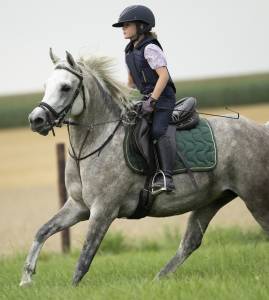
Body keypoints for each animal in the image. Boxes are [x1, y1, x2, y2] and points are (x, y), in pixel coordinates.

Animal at [19, 50, 268, 288]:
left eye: (65, 87)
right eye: (45, 86)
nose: (36, 120)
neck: (92, 145)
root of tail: (261, 130)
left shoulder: (103, 210)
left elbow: (85, 257)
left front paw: (71, 288)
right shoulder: (78, 207)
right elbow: (42, 231)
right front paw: (26, 279)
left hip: (255, 198)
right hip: (212, 200)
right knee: (190, 242)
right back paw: (158, 280)